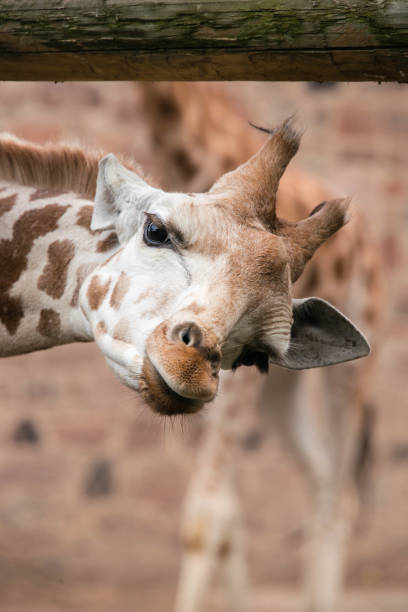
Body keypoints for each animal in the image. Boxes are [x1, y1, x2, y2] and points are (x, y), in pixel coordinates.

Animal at [136, 82, 382, 612]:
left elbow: (206, 517)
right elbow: (226, 517)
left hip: (354, 366)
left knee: (340, 492)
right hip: (281, 390)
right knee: (319, 474)